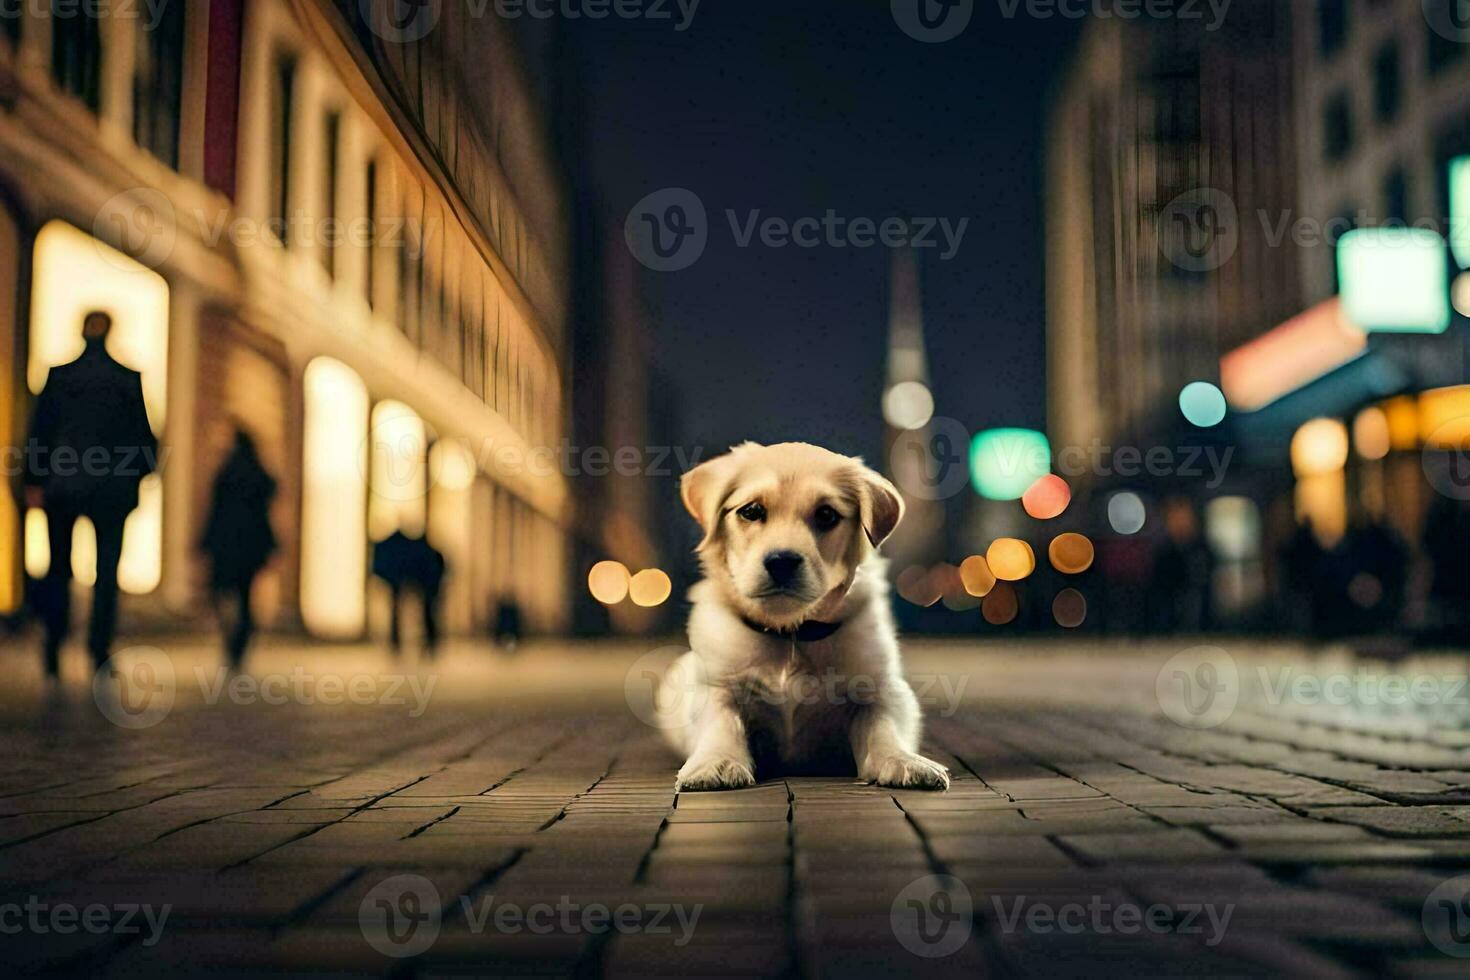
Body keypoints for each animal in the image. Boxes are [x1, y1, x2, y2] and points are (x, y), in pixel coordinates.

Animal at [658, 440, 952, 793]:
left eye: (826, 515)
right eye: (751, 511)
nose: (782, 562)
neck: (791, 632)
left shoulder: (882, 687)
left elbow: (884, 725)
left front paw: (903, 760)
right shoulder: (715, 683)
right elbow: (721, 721)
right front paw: (717, 762)